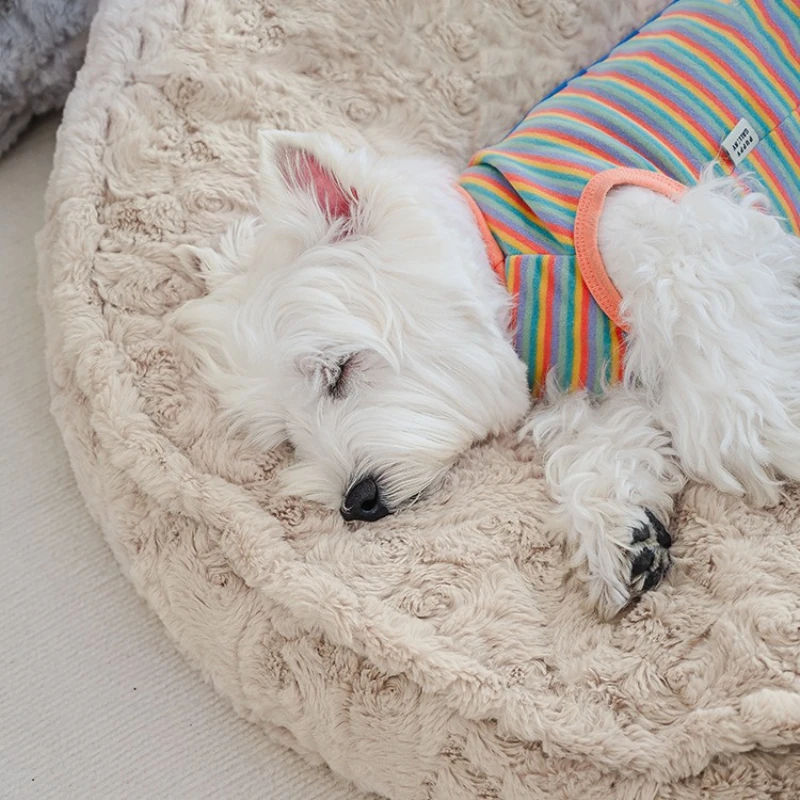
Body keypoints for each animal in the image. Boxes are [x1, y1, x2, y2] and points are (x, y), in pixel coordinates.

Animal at [172, 0, 800, 616]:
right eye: (288, 437)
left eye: (339, 371)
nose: (356, 500)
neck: (511, 262)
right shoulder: (590, 382)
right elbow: (599, 432)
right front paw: (620, 531)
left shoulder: (666, 218)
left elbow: (707, 312)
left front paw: (751, 428)